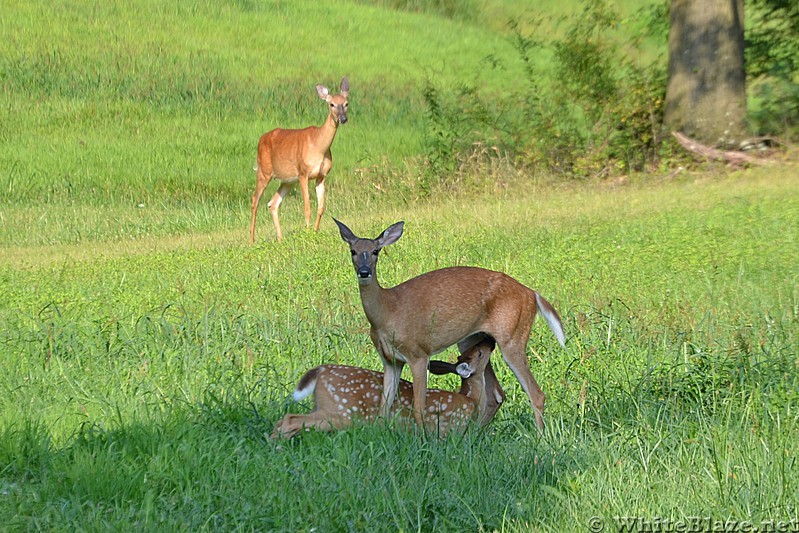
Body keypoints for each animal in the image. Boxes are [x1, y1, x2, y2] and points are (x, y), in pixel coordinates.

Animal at [250, 76, 350, 242]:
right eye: (332, 104)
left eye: (346, 103)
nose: (343, 118)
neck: (318, 146)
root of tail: (260, 140)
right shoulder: (304, 173)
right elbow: (307, 207)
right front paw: (308, 233)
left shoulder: (321, 176)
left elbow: (321, 207)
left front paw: (315, 232)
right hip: (264, 171)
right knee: (254, 200)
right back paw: (251, 241)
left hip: (287, 180)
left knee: (273, 203)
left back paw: (280, 239)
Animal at [272, 336, 504, 436]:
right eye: (480, 352)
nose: (491, 342)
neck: (471, 399)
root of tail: (320, 371)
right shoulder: (452, 428)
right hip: (341, 412)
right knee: (290, 420)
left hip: (324, 408)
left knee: (286, 419)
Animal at [334, 218, 564, 430]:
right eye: (353, 251)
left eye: (376, 251)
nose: (364, 271)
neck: (387, 311)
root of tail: (532, 294)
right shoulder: (390, 360)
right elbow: (384, 407)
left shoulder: (418, 354)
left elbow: (419, 407)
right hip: (474, 340)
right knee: (496, 394)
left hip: (513, 336)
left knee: (536, 395)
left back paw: (539, 440)